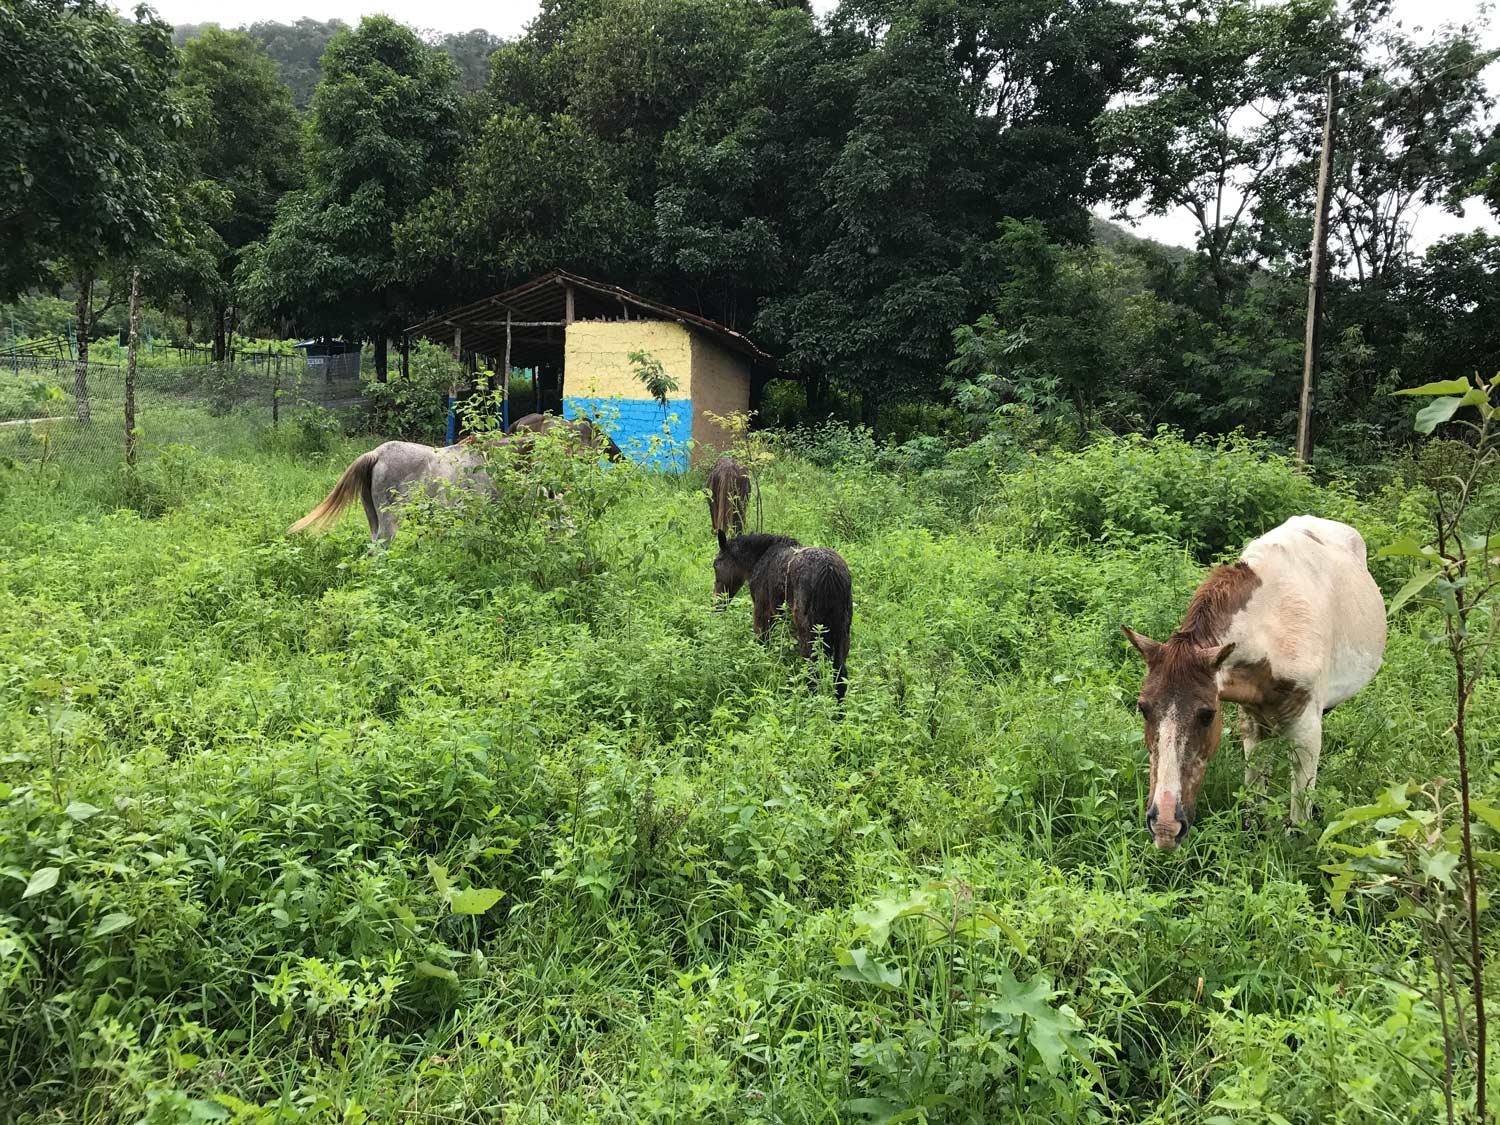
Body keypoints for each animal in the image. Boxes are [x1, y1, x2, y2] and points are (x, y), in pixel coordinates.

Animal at [711, 534, 852, 702]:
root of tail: (830, 572)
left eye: (716, 565)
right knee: (840, 675)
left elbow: (762, 644)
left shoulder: (762, 612)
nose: (716, 605)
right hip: (841, 632)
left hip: (809, 632)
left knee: (812, 673)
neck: (759, 559)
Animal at [1128, 516, 1380, 852]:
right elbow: (1255, 795)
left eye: (1207, 714)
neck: (1272, 628)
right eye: (1143, 708)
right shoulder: (1251, 720)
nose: (1165, 826)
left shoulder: (1308, 730)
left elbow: (1299, 817)